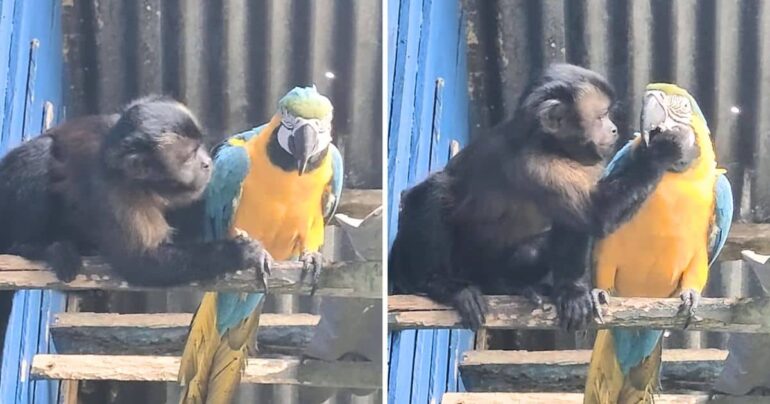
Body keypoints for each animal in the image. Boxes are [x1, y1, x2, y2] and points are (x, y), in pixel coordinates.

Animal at [0, 95, 271, 286]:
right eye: (189, 156)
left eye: (200, 147)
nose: (206, 163)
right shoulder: (116, 192)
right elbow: (139, 263)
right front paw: (239, 252)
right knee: (41, 152)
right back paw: (36, 247)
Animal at [388, 64, 690, 331]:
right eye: (601, 116)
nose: (614, 129)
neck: (549, 144)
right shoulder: (539, 163)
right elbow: (595, 214)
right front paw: (661, 150)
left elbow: (576, 219)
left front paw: (570, 291)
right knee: (433, 191)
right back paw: (440, 283)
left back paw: (509, 285)